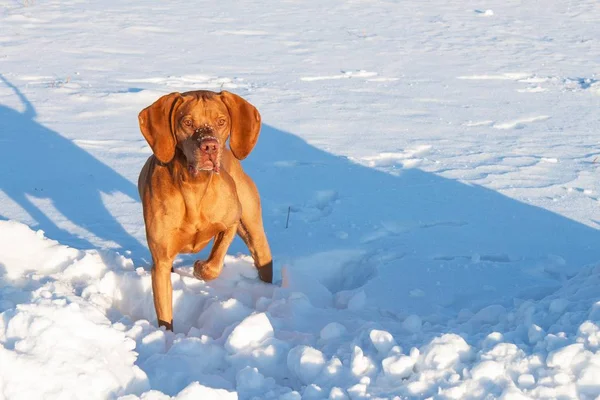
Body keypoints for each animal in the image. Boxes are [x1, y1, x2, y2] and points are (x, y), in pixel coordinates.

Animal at [138, 90, 272, 332]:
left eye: (221, 121)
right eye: (187, 122)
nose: (209, 146)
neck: (195, 186)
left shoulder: (231, 221)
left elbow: (215, 261)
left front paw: (201, 268)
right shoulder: (161, 261)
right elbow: (165, 313)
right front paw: (166, 337)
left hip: (253, 229)